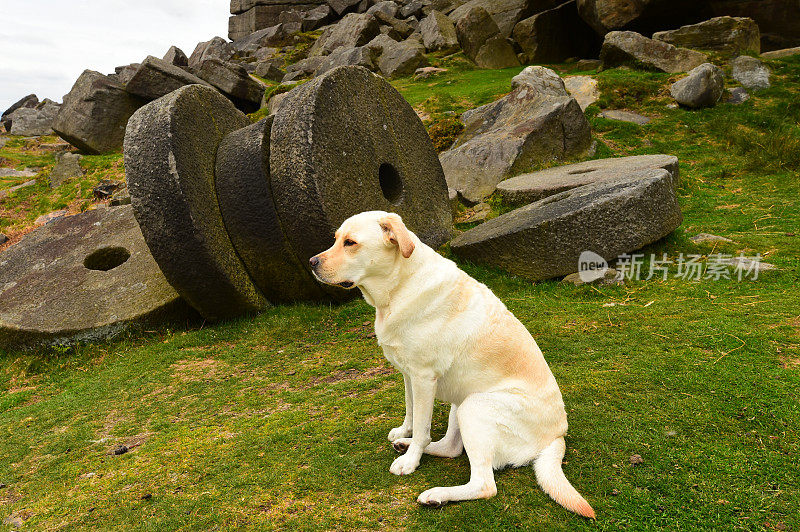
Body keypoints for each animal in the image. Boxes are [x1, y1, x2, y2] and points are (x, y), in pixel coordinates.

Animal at [310, 210, 596, 516]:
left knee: (485, 485)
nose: (311, 262)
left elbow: (422, 426)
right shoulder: (408, 374)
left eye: (350, 243)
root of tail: (558, 436)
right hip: (460, 402)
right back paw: (405, 445)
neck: (400, 287)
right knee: (450, 448)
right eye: (336, 239)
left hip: (474, 405)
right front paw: (405, 433)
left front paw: (410, 462)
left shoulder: (423, 377)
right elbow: (412, 413)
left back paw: (436, 493)